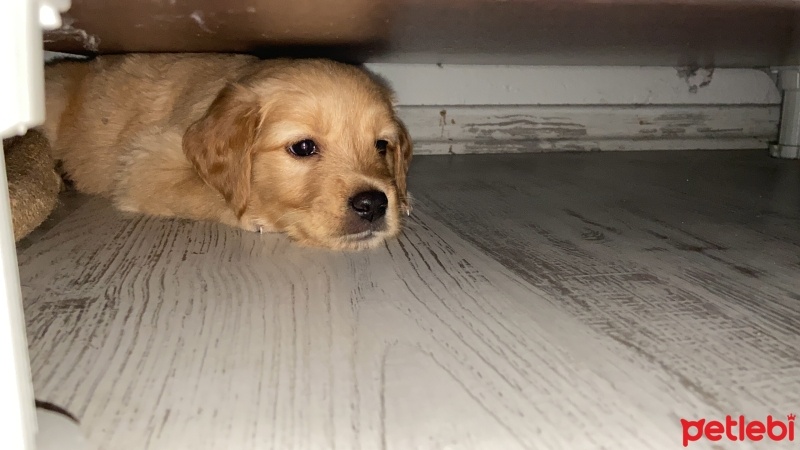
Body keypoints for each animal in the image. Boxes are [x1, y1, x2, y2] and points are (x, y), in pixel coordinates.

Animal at [40, 53, 412, 250]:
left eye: (382, 145)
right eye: (304, 147)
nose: (373, 204)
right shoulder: (146, 162)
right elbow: (209, 193)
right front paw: (257, 214)